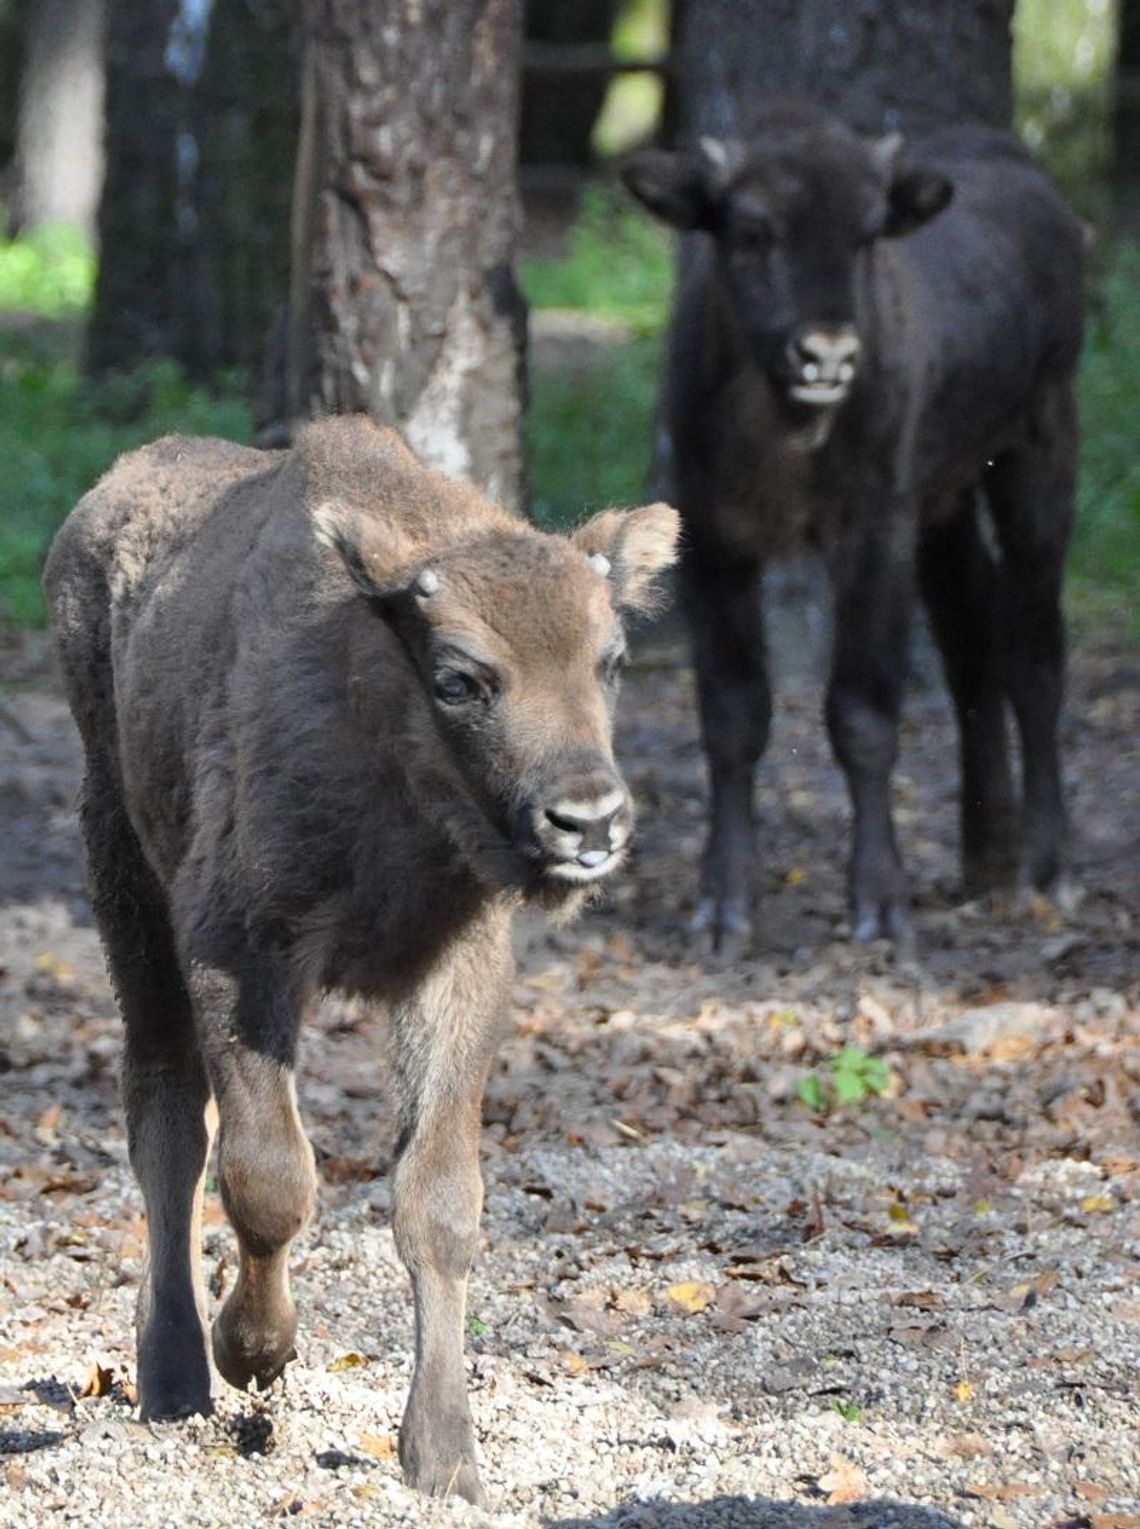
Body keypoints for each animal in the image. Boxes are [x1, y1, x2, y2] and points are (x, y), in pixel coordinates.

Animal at [44, 418, 675, 1504]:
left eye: (613, 659)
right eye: (461, 676)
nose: (588, 822)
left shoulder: (457, 971)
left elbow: (438, 1201)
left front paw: (445, 1454)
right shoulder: (237, 951)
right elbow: (268, 1177)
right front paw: (256, 1350)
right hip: (123, 871)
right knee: (165, 1119)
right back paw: (176, 1375)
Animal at [617, 101, 1081, 947]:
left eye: (867, 233)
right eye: (752, 229)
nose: (827, 354)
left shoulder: (873, 539)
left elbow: (862, 713)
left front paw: (879, 904)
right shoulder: (716, 542)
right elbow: (733, 712)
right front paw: (723, 903)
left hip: (1039, 455)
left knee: (1034, 651)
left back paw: (1045, 868)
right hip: (946, 505)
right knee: (971, 643)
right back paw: (986, 859)